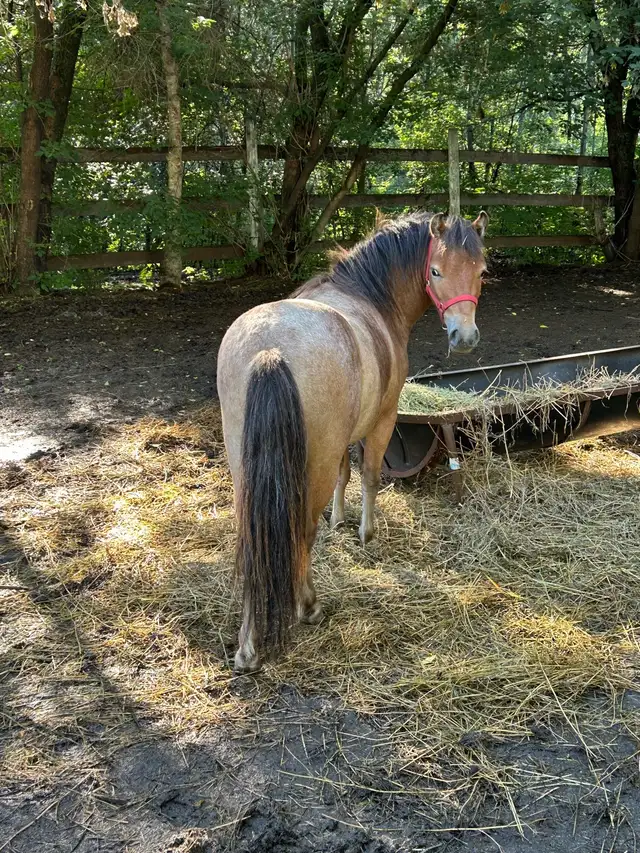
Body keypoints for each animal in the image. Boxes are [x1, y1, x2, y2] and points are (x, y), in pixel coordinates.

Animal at [217, 211, 488, 672]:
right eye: (436, 271)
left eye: (481, 271)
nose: (464, 337)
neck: (367, 297)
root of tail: (269, 350)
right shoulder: (381, 421)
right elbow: (370, 476)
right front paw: (365, 532)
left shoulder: (342, 439)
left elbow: (346, 474)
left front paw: (340, 520)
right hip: (312, 468)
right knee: (300, 533)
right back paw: (307, 607)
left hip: (245, 473)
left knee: (254, 539)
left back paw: (248, 647)